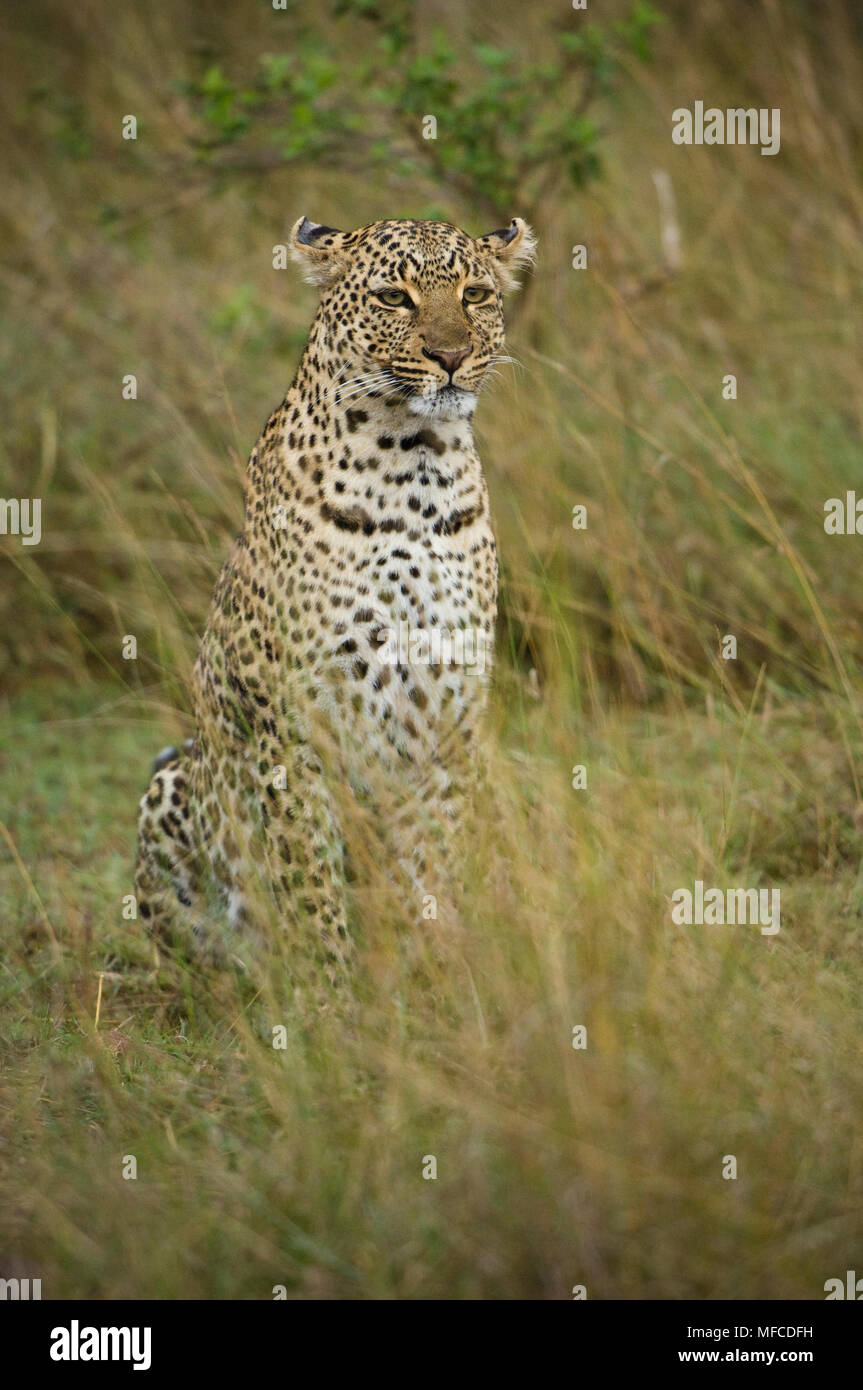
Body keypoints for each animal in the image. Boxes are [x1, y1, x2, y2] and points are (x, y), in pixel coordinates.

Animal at [134, 213, 536, 964]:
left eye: (474, 294)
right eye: (393, 297)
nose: (450, 355)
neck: (415, 465)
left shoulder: (450, 712)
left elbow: (436, 859)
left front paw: (441, 966)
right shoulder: (294, 726)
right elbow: (308, 875)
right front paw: (327, 984)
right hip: (172, 786)